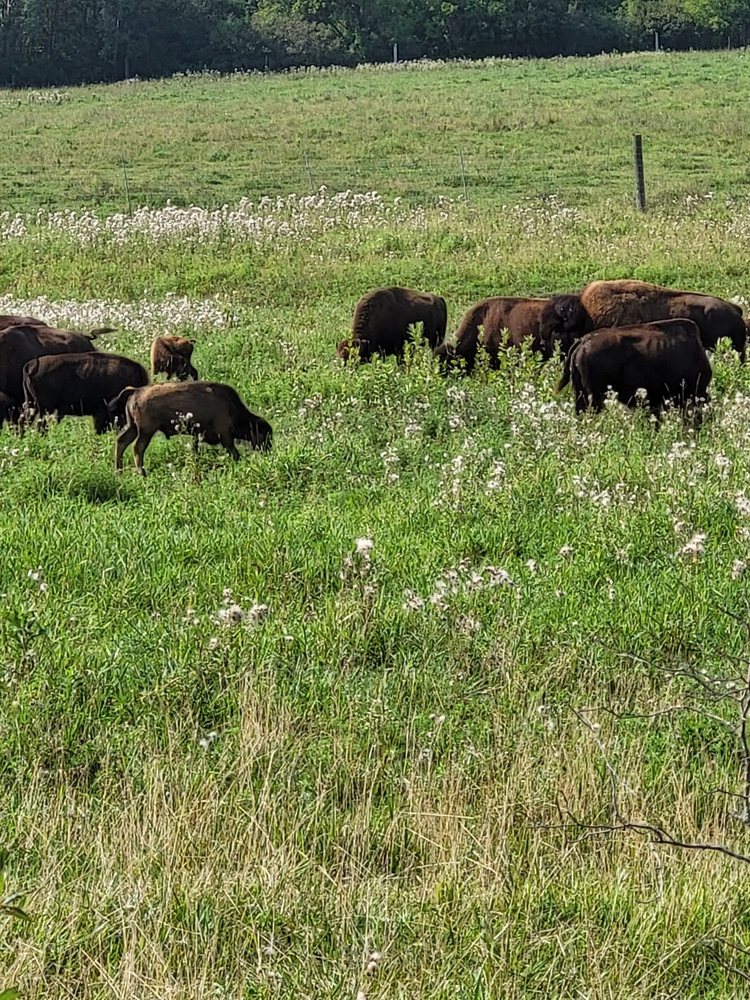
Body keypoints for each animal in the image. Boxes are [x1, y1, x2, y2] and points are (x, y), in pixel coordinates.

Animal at [109, 381, 272, 475]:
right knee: (137, 448)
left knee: (121, 441)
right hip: (146, 431)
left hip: (133, 427)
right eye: (265, 434)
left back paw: (119, 471)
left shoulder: (197, 435)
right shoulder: (225, 434)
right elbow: (234, 452)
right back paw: (142, 473)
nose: (268, 450)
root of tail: (136, 391)